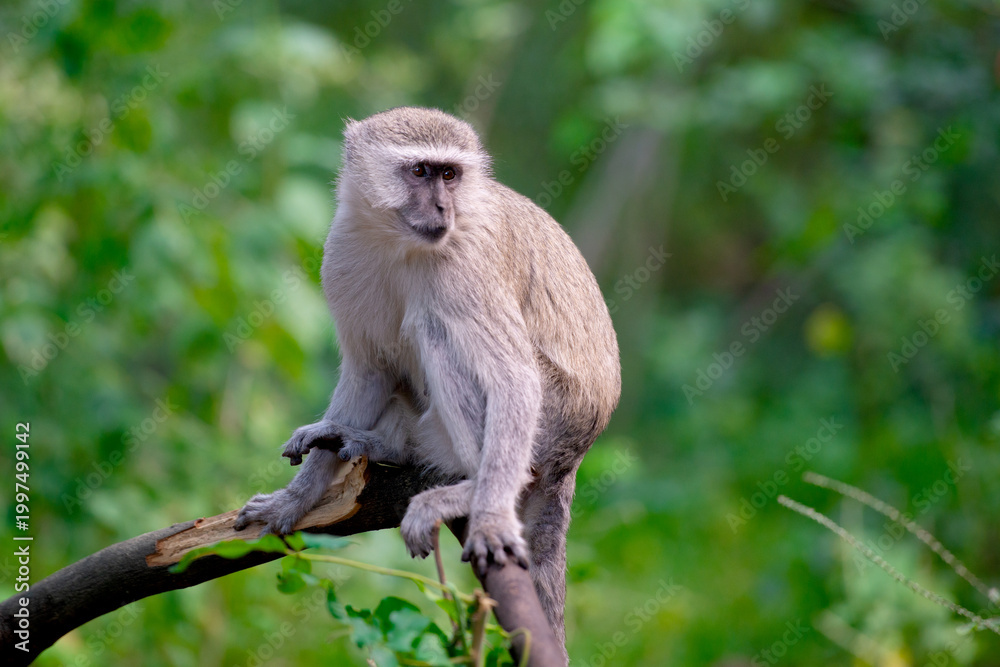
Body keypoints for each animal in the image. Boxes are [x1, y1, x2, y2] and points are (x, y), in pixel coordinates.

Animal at [234, 106, 621, 660]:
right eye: (420, 171)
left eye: (450, 175)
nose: (442, 206)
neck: (401, 243)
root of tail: (576, 452)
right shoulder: (343, 248)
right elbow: (370, 368)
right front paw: (296, 499)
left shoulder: (467, 268)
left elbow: (514, 379)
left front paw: (488, 515)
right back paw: (380, 444)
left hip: (554, 419)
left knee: (436, 327)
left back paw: (470, 488)